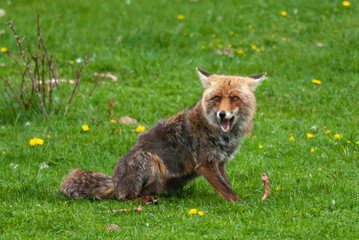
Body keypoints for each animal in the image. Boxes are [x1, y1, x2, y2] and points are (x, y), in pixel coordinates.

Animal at [60, 67, 266, 202]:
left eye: (234, 98)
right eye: (216, 98)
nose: (222, 114)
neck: (221, 135)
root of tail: (115, 182)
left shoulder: (219, 161)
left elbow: (227, 185)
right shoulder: (205, 163)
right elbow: (228, 191)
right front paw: (242, 206)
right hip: (147, 160)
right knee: (124, 198)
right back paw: (142, 201)